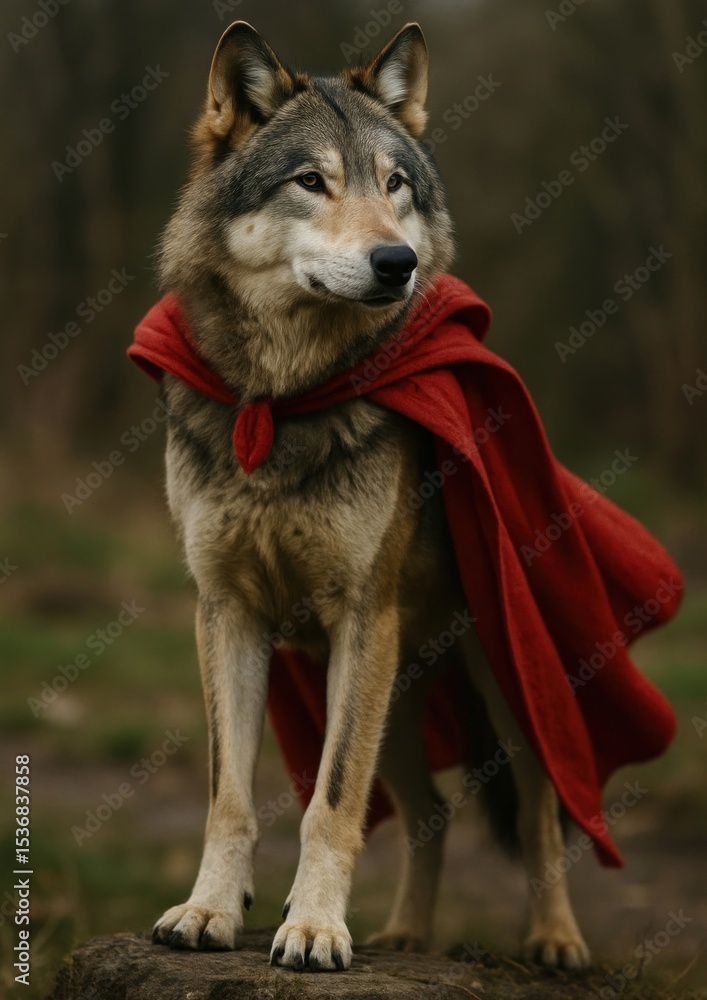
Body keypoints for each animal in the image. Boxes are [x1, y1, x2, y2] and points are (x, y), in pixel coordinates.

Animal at [149, 20, 591, 972]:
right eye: (311, 181)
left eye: (395, 184)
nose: (399, 260)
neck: (284, 398)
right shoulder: (226, 613)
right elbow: (230, 798)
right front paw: (208, 912)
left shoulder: (359, 616)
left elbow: (330, 804)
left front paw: (313, 928)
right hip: (390, 688)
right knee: (431, 810)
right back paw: (406, 934)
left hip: (497, 682)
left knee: (542, 811)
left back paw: (553, 940)